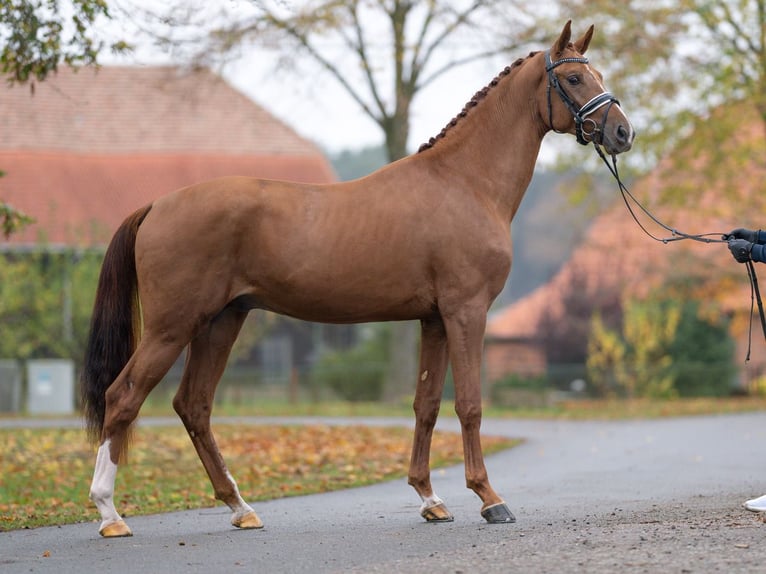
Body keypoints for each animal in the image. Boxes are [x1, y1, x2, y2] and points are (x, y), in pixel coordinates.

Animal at [84, 19, 636, 540]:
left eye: (597, 74)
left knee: (193, 405)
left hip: (222, 322)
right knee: (123, 396)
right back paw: (110, 514)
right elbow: (470, 404)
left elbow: (426, 404)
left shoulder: (434, 319)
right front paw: (489, 499)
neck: (465, 182)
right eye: (573, 78)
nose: (622, 134)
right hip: (172, 327)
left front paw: (430, 499)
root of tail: (157, 204)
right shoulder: (466, 312)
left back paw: (240, 509)